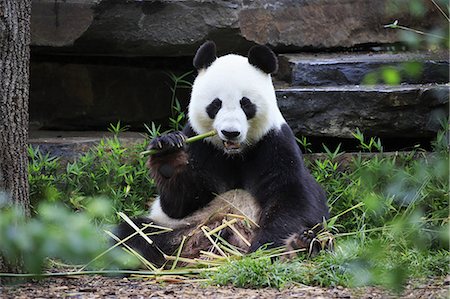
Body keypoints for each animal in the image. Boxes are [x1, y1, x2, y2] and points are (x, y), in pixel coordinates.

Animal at [116, 40, 328, 268]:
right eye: (215, 104)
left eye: (246, 103)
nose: (230, 132)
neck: (234, 154)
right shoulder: (199, 143)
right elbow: (179, 203)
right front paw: (168, 156)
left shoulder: (274, 143)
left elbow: (293, 198)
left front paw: (265, 248)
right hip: (179, 229)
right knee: (133, 234)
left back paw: (303, 244)